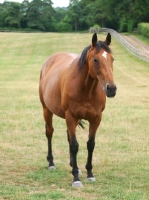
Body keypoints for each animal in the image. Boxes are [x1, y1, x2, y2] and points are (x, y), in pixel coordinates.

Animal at [38, 33, 116, 188]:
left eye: (112, 59)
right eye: (95, 59)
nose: (111, 89)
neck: (86, 88)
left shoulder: (96, 118)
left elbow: (90, 144)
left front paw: (89, 174)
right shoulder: (71, 116)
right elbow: (74, 145)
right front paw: (76, 179)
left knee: (68, 136)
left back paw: (75, 166)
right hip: (47, 110)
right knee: (49, 133)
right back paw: (51, 163)